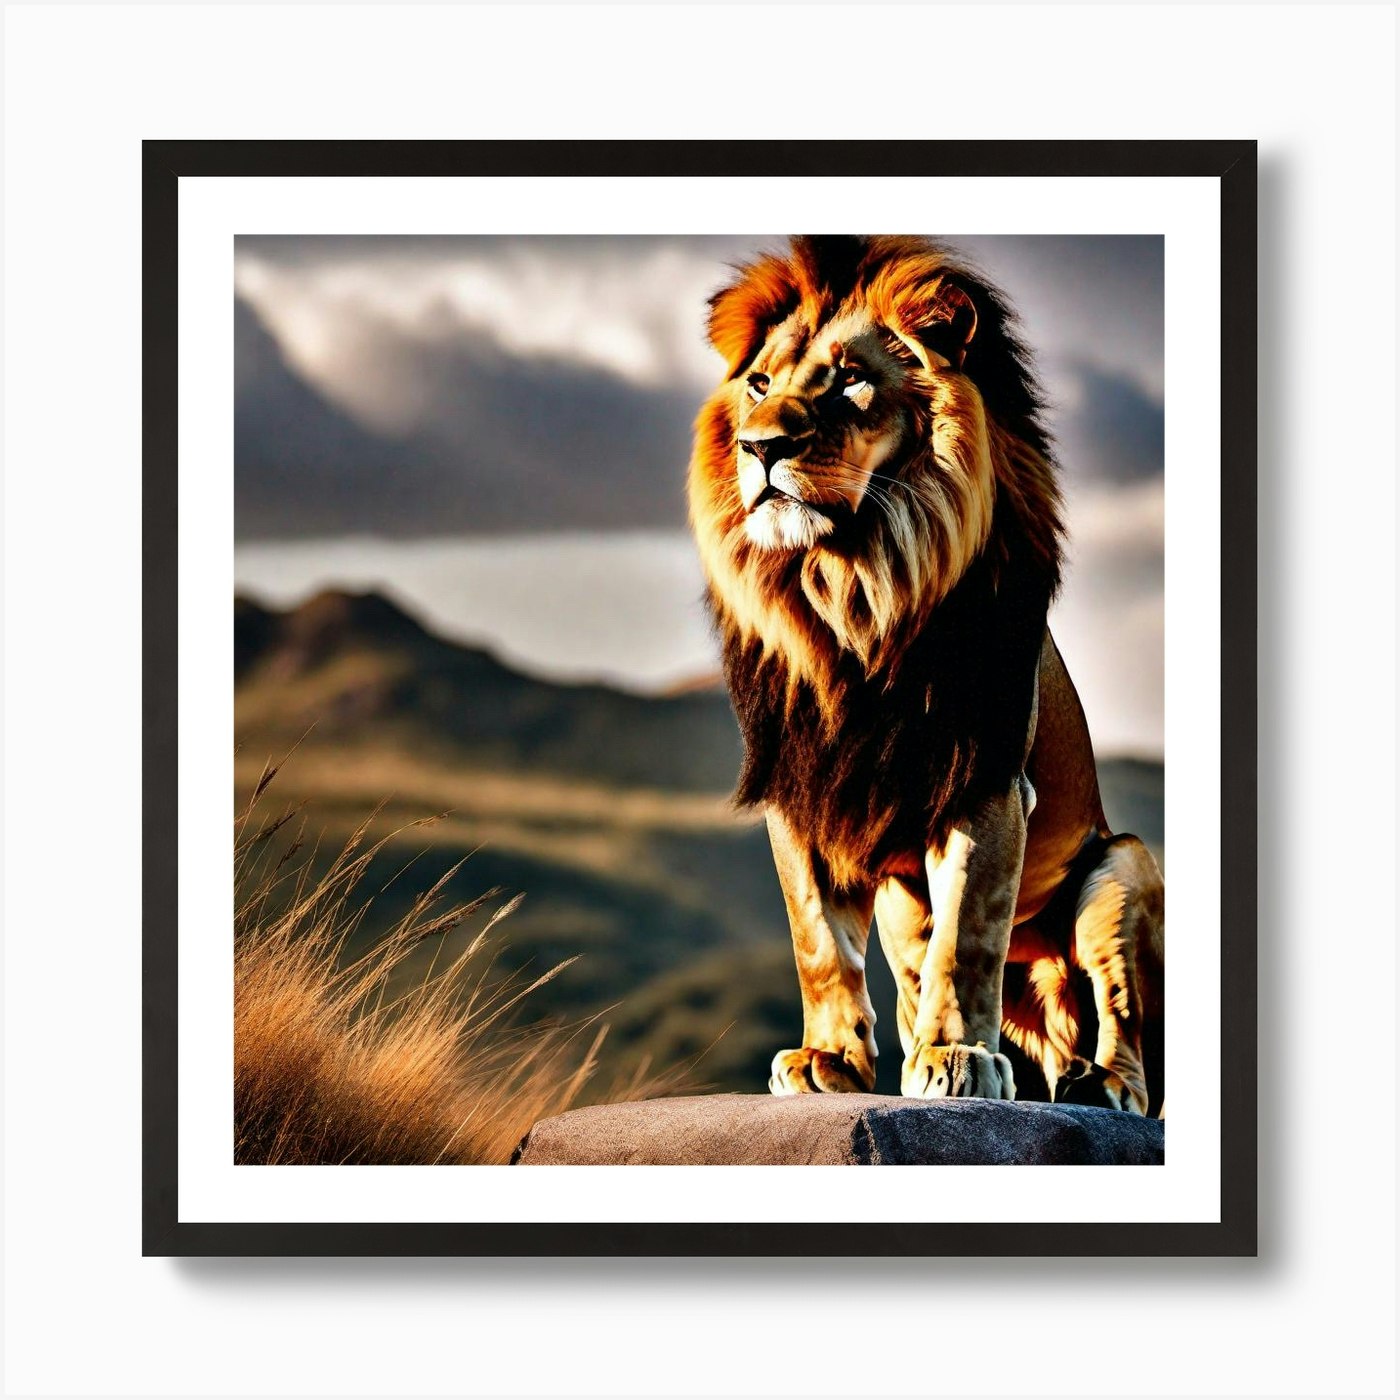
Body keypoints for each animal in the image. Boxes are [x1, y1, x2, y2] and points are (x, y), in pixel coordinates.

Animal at [688, 235, 1164, 1114]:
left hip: (1122, 868)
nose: (760, 448)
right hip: (903, 908)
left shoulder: (985, 779)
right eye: (760, 384)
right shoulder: (802, 788)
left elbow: (968, 934)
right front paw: (828, 1059)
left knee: (1121, 1021)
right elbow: (817, 939)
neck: (852, 585)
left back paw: (1096, 1083)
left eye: (847, 378)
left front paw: (958, 1057)